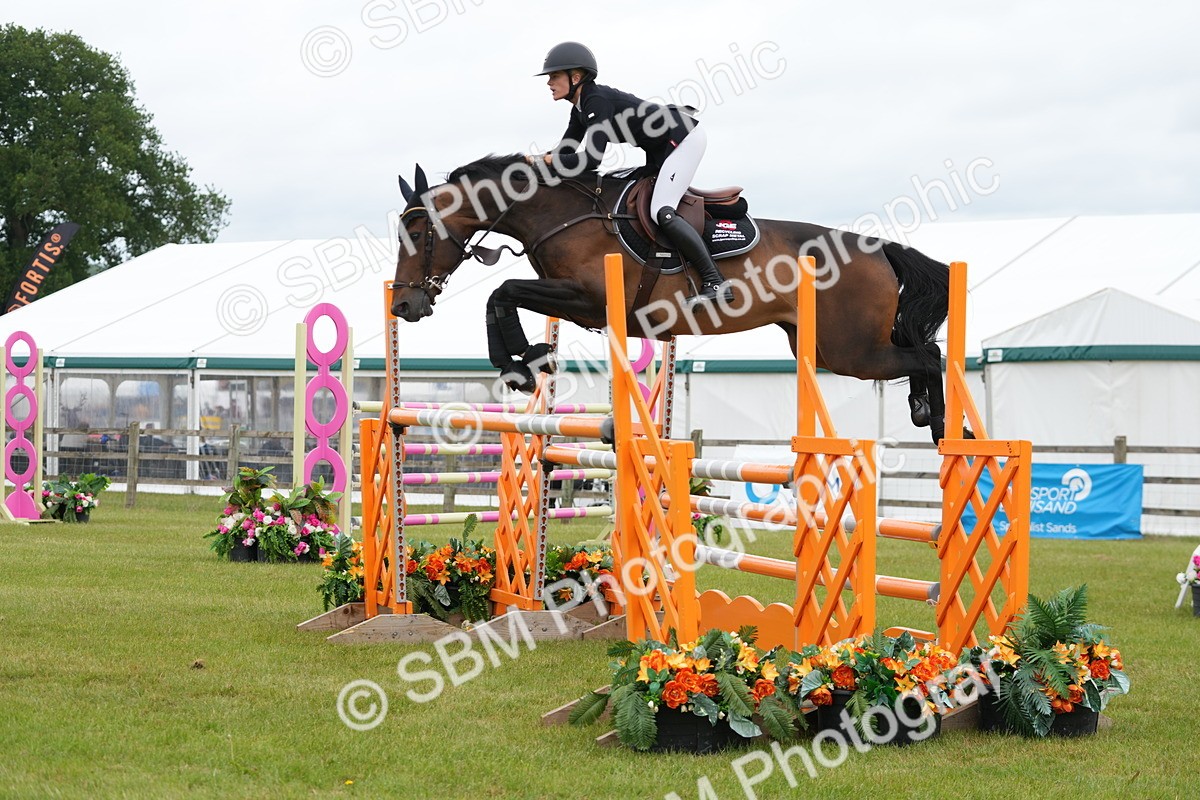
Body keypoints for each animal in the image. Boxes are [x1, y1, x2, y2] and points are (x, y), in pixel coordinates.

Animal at [390, 155, 956, 442]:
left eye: (416, 232)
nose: (403, 307)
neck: (560, 215)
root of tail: (878, 249)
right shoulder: (575, 304)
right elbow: (500, 296)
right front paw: (528, 358)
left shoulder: (588, 300)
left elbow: (501, 292)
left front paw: (521, 362)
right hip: (820, 347)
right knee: (923, 353)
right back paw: (926, 413)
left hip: (850, 351)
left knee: (929, 355)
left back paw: (940, 426)